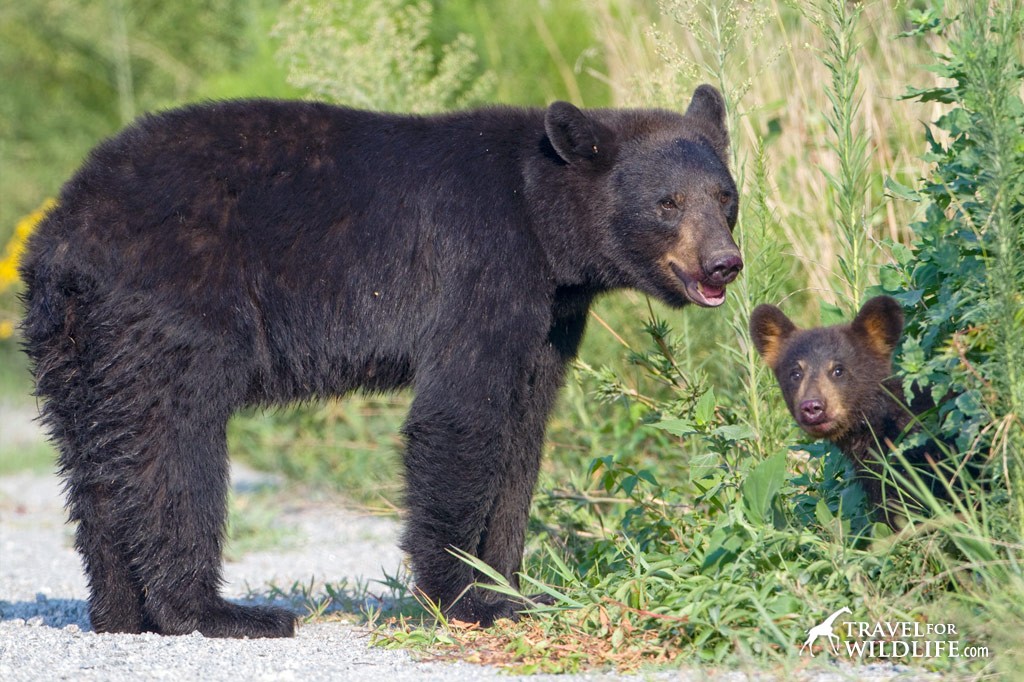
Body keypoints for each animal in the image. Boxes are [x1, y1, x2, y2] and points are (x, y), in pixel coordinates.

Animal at [22, 86, 745, 638]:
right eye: (667, 203)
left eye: (725, 196)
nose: (723, 264)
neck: (543, 222)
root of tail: (61, 233)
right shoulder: (481, 267)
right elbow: (459, 419)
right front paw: (465, 598)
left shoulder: (549, 319)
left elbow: (522, 437)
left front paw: (511, 589)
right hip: (175, 310)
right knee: (175, 448)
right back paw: (218, 613)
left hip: (77, 346)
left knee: (97, 463)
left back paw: (121, 612)